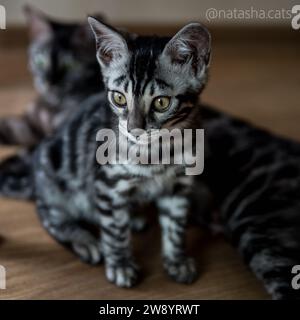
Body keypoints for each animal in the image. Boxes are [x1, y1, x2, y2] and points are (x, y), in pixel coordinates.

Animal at [0, 6, 103, 199]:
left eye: (70, 65)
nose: (49, 82)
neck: (53, 105)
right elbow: (8, 126)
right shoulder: (30, 124)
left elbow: (28, 153)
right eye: (40, 60)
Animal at [33, 17, 211, 288]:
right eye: (119, 98)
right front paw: (120, 264)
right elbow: (115, 230)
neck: (159, 152)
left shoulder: (179, 186)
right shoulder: (108, 185)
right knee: (49, 213)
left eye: (161, 102)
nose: (134, 129)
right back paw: (85, 240)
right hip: (53, 176)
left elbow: (176, 226)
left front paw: (177, 260)